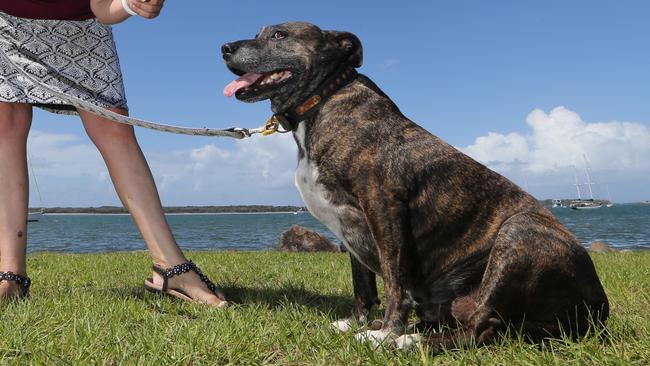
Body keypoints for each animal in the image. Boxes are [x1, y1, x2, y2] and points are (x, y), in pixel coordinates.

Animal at [221, 22, 608, 352]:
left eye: (279, 34)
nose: (224, 47)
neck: (324, 100)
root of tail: (598, 309)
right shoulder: (349, 227)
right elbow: (363, 285)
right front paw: (356, 322)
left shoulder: (384, 208)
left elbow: (395, 282)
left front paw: (385, 333)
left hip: (519, 235)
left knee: (480, 328)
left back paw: (405, 340)